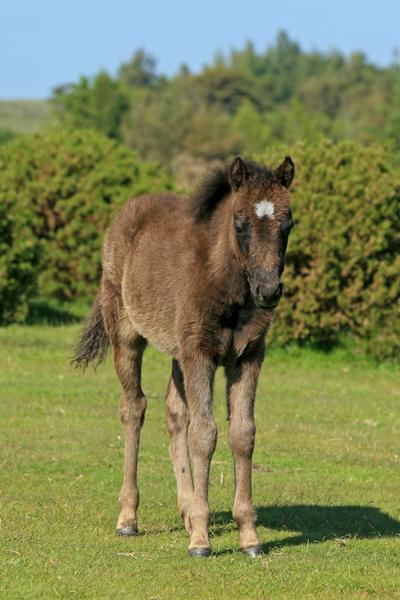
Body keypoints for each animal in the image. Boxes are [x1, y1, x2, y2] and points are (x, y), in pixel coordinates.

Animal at [74, 156, 294, 556]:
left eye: (288, 225)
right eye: (240, 224)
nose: (268, 291)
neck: (225, 282)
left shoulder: (248, 355)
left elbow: (243, 433)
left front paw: (249, 535)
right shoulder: (199, 353)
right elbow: (204, 434)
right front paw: (201, 540)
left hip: (178, 350)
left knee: (174, 413)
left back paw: (187, 509)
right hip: (127, 333)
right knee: (134, 408)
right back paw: (128, 518)